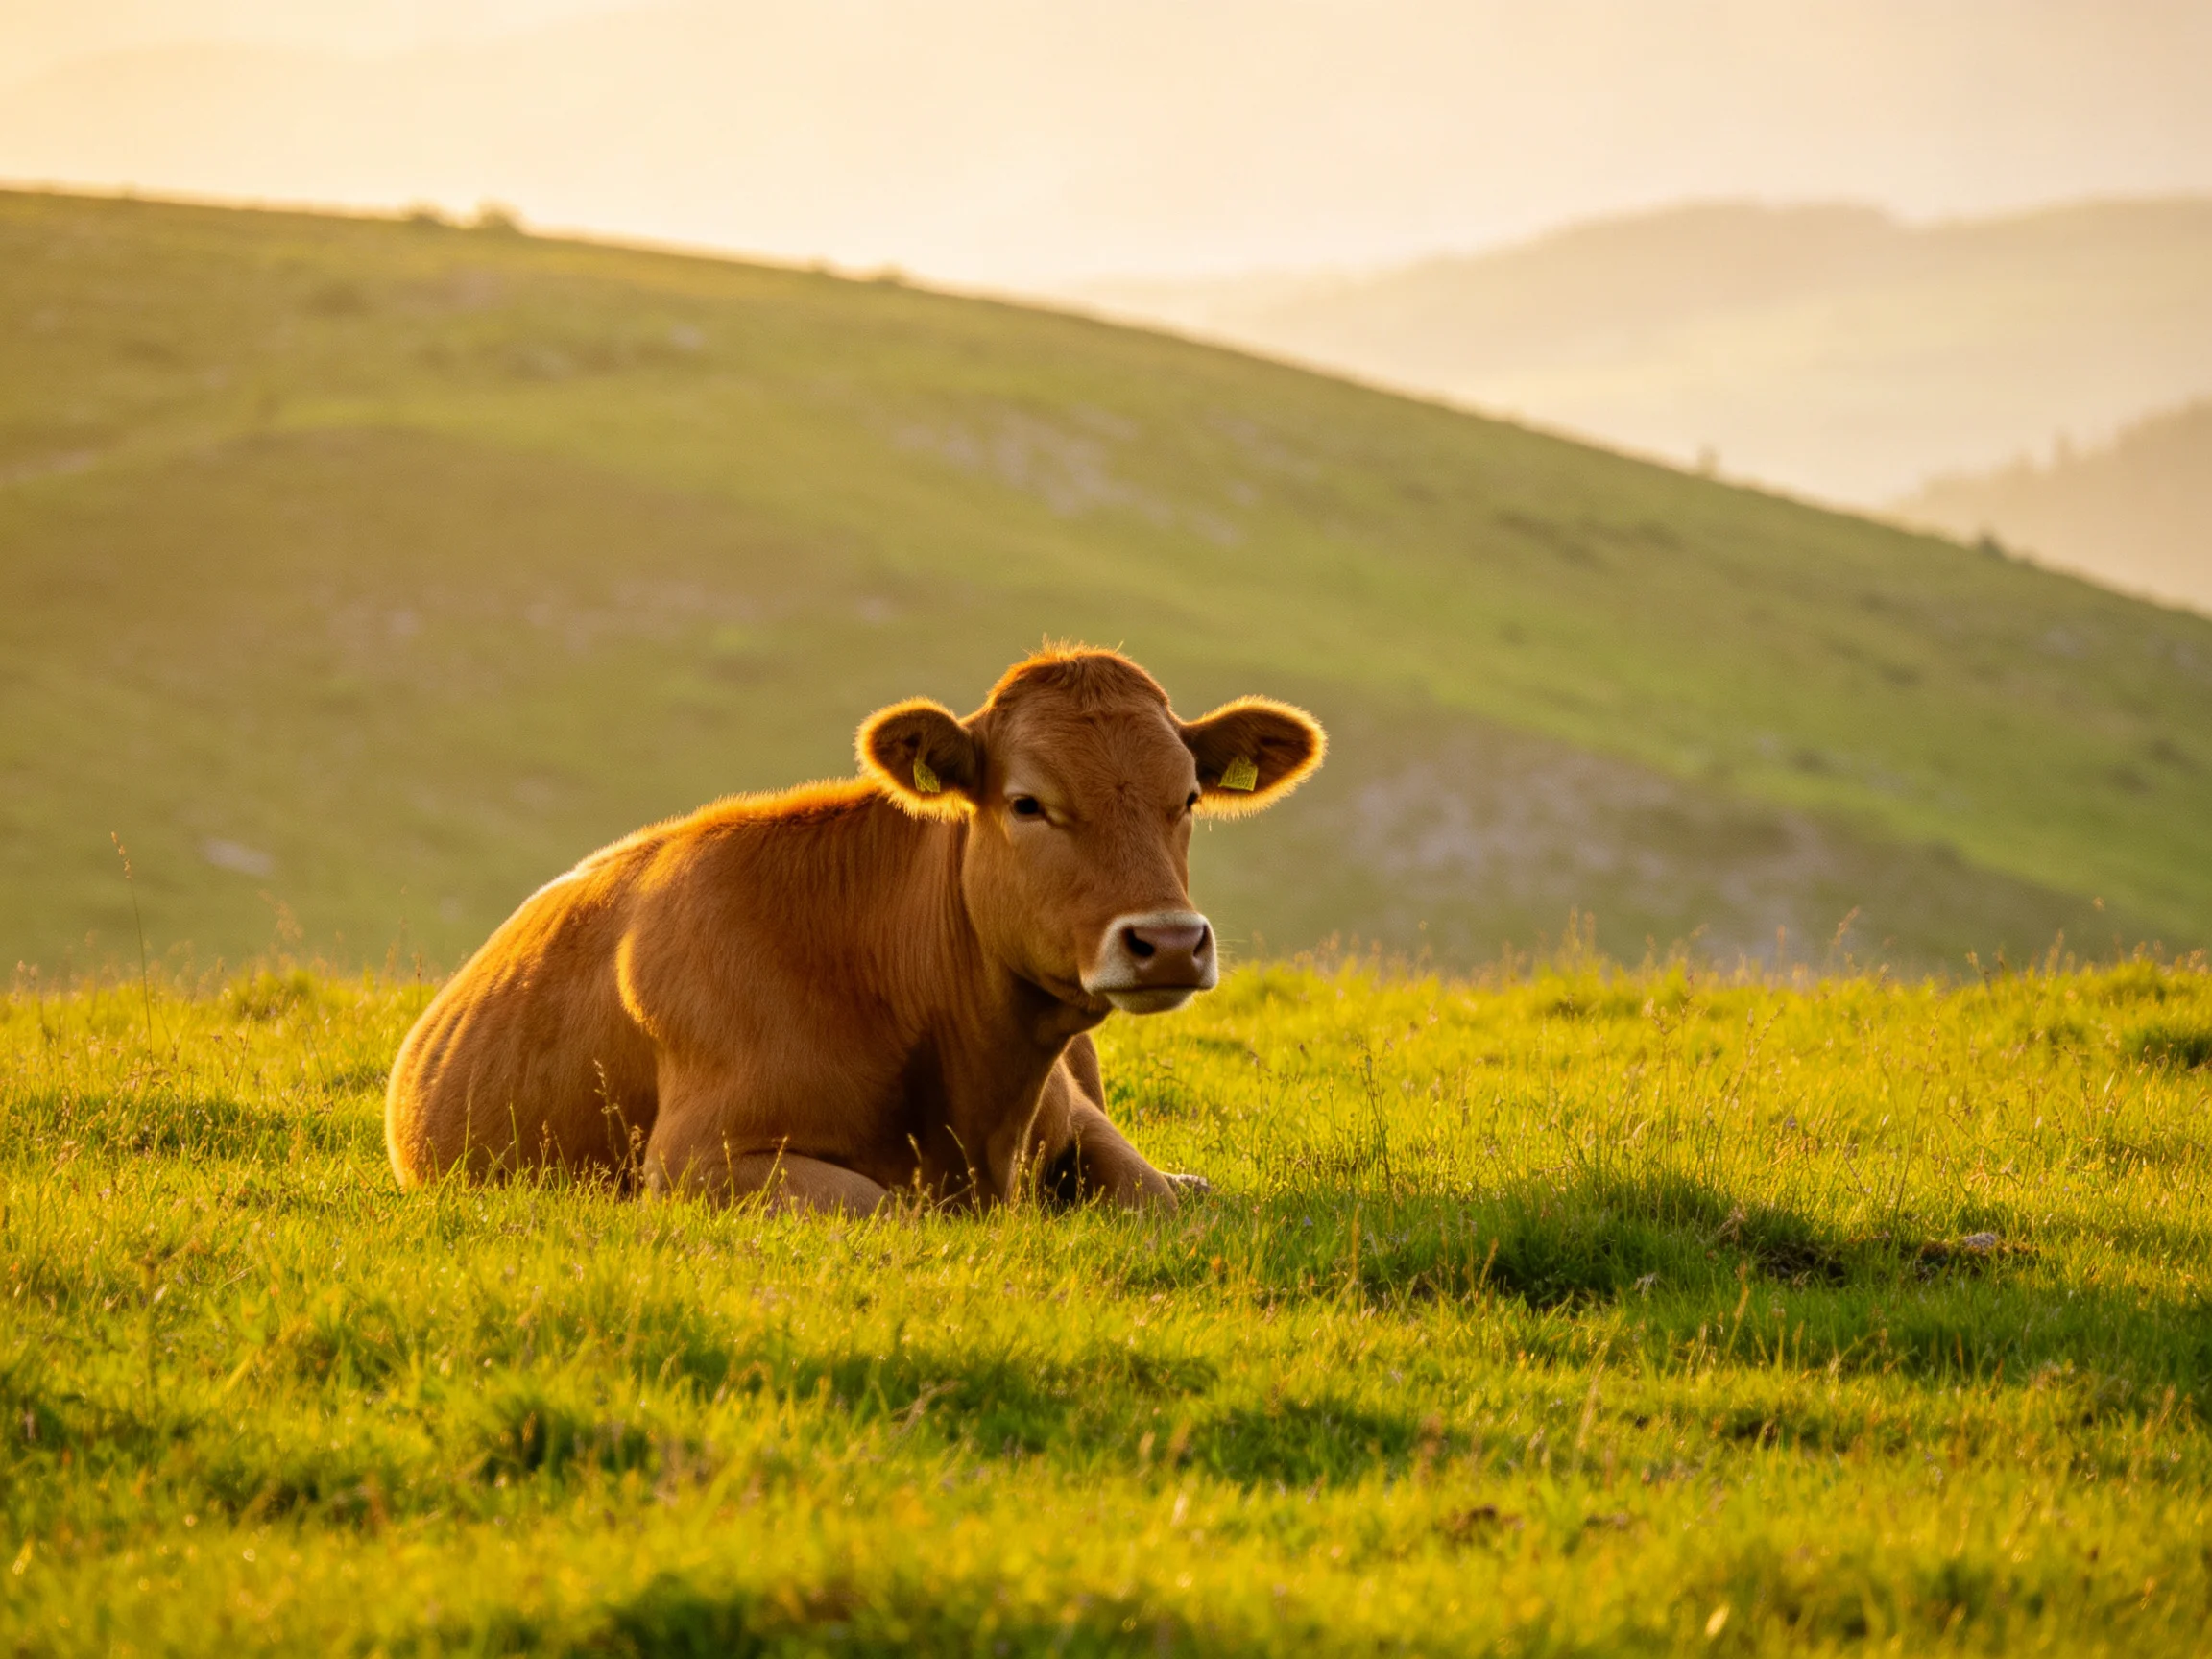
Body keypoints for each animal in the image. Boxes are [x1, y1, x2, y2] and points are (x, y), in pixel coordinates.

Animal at [383, 647, 1324, 1215]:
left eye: (1189, 797)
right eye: (1028, 803)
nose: (1167, 941)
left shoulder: (1074, 1114)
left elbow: (1157, 1197)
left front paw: (1186, 1185)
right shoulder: (695, 1160)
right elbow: (886, 1207)